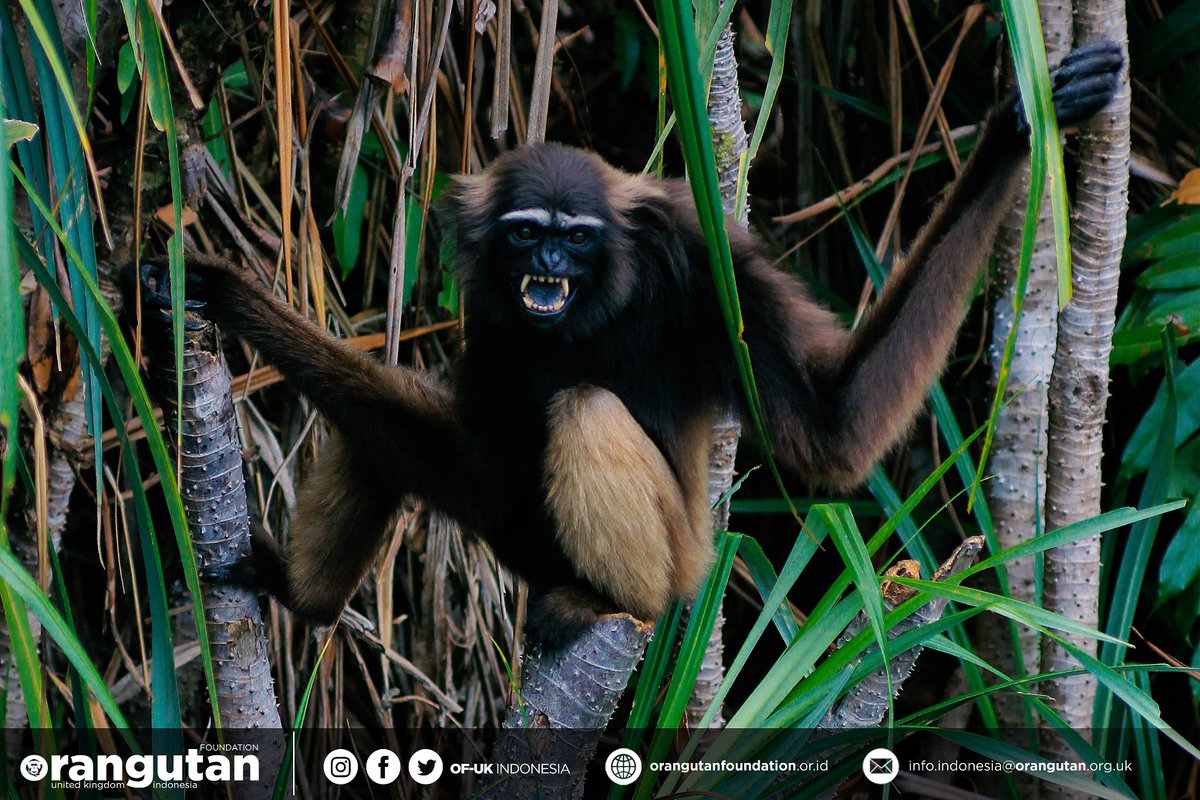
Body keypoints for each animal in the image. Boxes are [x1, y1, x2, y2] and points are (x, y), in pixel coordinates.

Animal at [129, 42, 1122, 647]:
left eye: (575, 237)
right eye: (527, 234)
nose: (549, 266)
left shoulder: (699, 259)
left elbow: (834, 428)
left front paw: (1015, 131)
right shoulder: (490, 310)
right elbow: (472, 458)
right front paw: (221, 296)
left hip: (682, 562)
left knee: (582, 406)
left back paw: (611, 603)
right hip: (521, 541)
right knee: (384, 433)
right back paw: (306, 602)